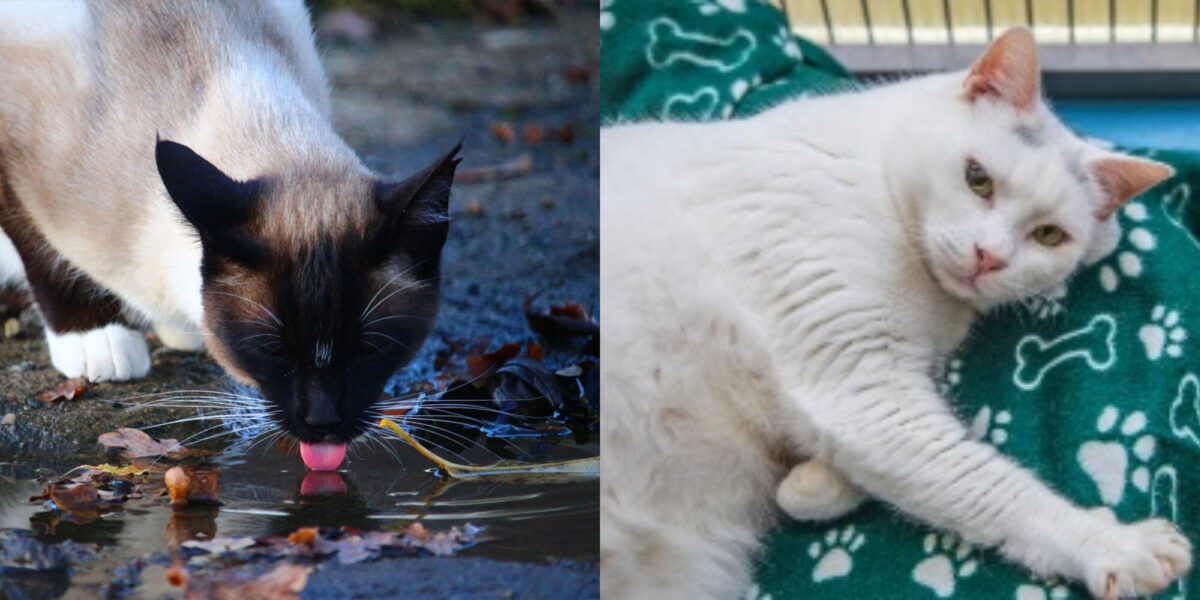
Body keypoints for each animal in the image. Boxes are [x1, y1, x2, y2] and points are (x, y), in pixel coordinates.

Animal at [600, 28, 1190, 600]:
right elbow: (988, 486)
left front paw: (810, 484)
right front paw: (1115, 546)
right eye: (977, 178)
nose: (989, 256)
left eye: (1049, 235)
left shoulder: (871, 392)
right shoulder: (865, 388)